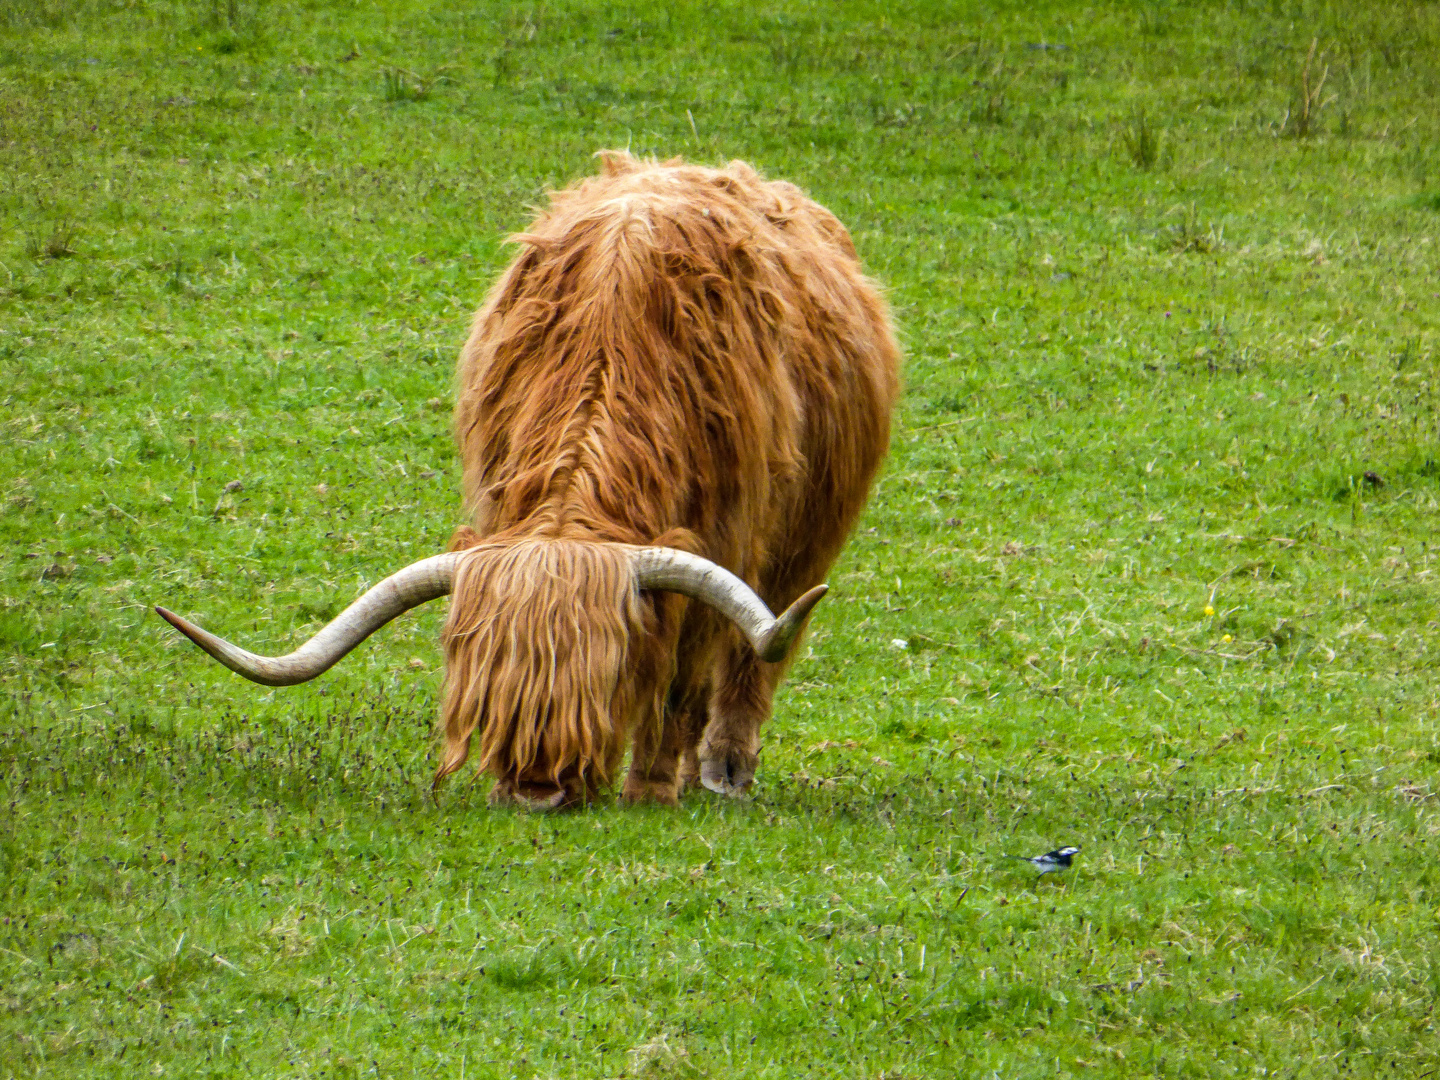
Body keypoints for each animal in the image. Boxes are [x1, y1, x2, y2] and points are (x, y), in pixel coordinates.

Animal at [157, 152, 898, 812]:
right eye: (491, 674)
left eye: (607, 672)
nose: (537, 791)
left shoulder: (726, 537)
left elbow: (682, 676)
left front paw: (651, 787)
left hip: (806, 542)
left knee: (755, 654)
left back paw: (722, 772)